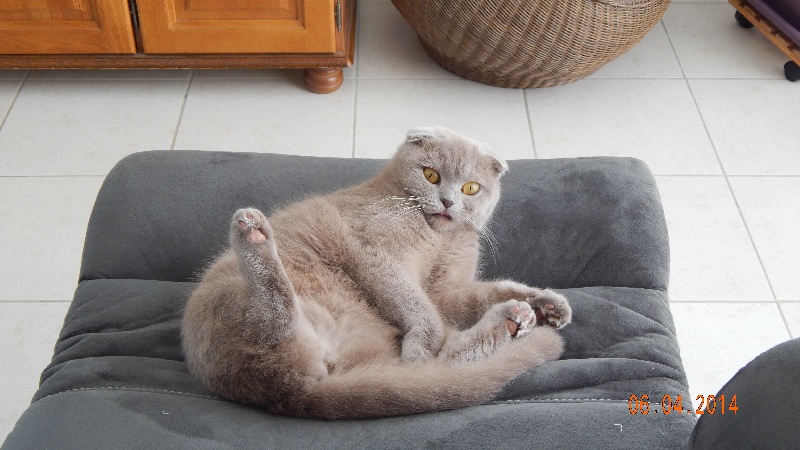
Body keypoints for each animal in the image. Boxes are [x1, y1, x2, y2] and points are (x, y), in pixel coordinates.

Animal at [183, 125, 568, 418]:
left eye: (470, 188)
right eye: (431, 175)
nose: (447, 202)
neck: (439, 238)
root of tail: (295, 391)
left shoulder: (444, 292)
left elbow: (482, 294)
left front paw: (548, 305)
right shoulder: (376, 255)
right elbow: (418, 305)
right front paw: (421, 346)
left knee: (439, 370)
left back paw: (513, 320)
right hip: (227, 298)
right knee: (272, 318)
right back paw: (254, 235)